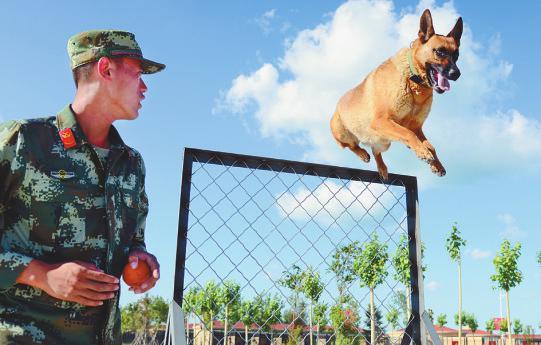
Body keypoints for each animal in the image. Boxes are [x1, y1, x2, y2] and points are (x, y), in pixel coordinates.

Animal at [332, 9, 462, 179]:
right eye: (440, 52)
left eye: (456, 56)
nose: (456, 74)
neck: (413, 82)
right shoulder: (382, 121)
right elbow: (408, 133)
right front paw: (422, 152)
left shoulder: (416, 127)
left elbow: (431, 146)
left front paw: (436, 163)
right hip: (343, 133)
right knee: (351, 145)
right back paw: (363, 154)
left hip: (383, 141)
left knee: (375, 151)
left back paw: (381, 167)